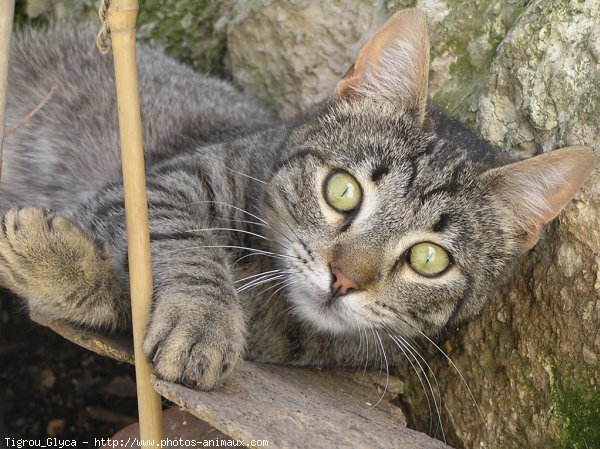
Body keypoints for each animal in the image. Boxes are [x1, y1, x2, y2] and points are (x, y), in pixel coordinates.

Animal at [0, 9, 592, 388]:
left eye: (429, 259)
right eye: (342, 190)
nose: (343, 279)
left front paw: (55, 264)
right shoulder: (157, 182)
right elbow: (183, 241)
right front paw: (200, 316)